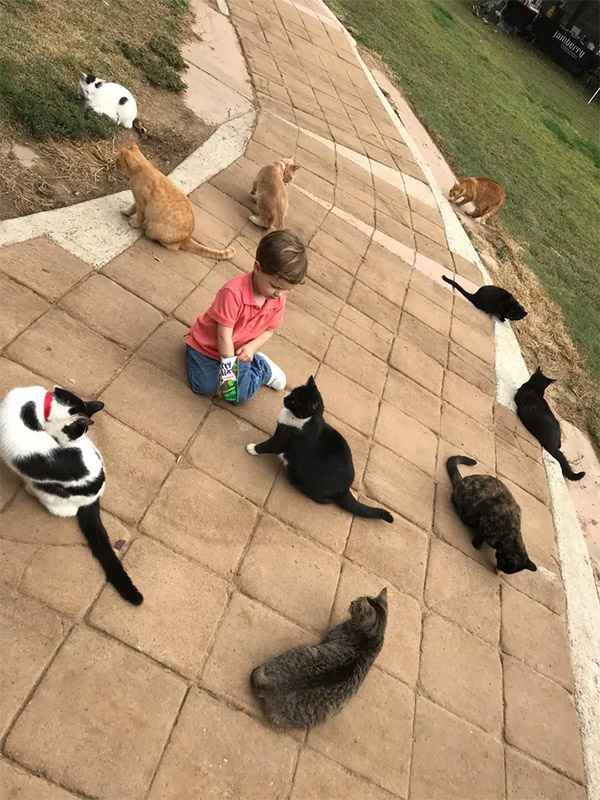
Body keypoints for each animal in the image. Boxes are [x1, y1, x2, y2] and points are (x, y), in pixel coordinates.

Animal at [0, 385, 143, 605]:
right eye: (77, 433)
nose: (76, 441)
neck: (38, 407)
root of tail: (94, 495)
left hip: (50, 495)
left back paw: (30, 490)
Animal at [246, 375, 393, 522]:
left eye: (294, 401)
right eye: (292, 392)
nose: (285, 398)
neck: (303, 420)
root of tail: (345, 489)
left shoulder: (283, 439)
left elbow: (270, 445)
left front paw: (252, 448)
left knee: (324, 500)